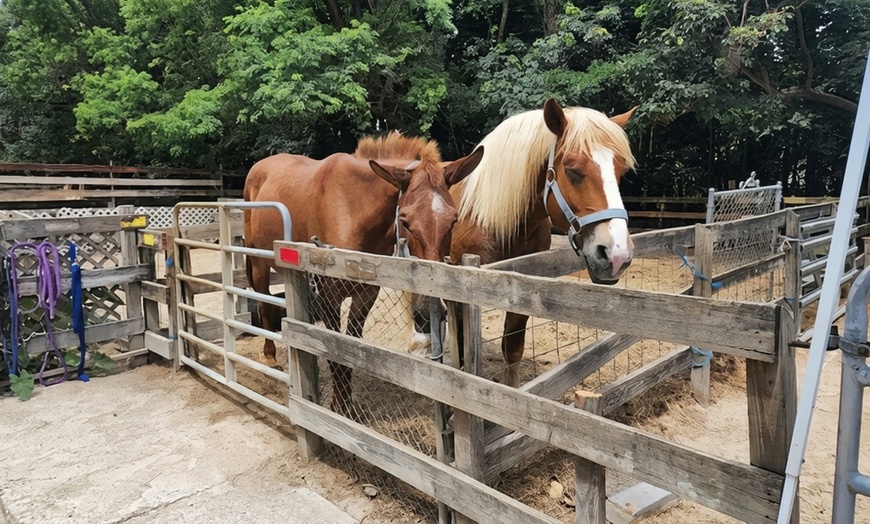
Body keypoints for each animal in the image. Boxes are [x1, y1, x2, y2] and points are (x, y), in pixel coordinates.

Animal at [244, 133, 484, 415]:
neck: (353, 211)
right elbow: (335, 351)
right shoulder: (329, 297)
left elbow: (351, 346)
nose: (427, 313)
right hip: (259, 265)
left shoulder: (365, 296)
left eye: (453, 220)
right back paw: (270, 355)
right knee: (263, 304)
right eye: (405, 221)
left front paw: (346, 405)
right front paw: (338, 407)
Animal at [448, 98, 637, 387]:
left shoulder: (520, 287)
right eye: (573, 171)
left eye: (621, 171)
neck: (489, 218)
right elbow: (460, 350)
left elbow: (513, 348)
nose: (616, 255)